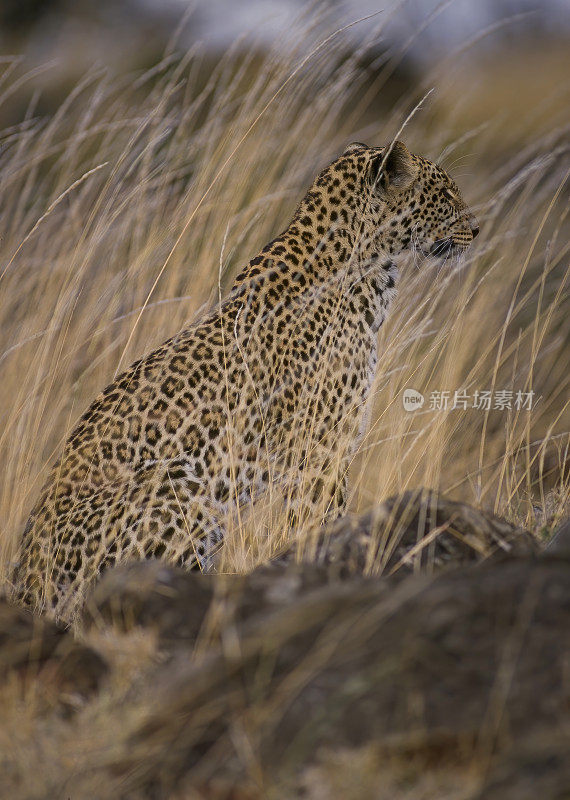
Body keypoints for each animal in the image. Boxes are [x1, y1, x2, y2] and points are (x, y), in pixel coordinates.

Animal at [11, 141, 478, 620]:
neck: (372, 273)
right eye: (446, 194)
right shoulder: (321, 449)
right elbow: (322, 523)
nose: (477, 230)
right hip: (182, 483)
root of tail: (24, 580)